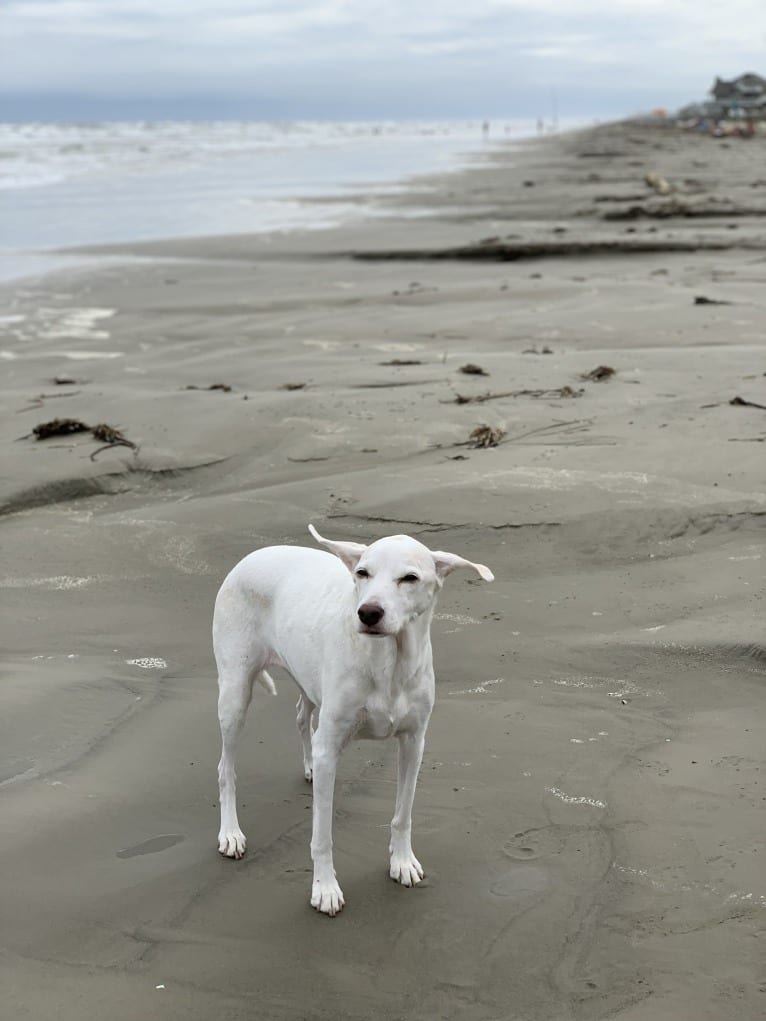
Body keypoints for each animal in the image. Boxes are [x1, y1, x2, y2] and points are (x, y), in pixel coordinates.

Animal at [213, 522, 494, 914]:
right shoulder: (332, 744)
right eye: (362, 573)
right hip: (235, 695)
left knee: (302, 716)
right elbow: (322, 835)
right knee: (227, 768)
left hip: (307, 678)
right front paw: (325, 888)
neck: (390, 660)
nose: (369, 613)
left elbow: (403, 814)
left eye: (410, 578)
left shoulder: (414, 743)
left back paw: (308, 766)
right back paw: (230, 833)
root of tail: (252, 555)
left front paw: (402, 862)